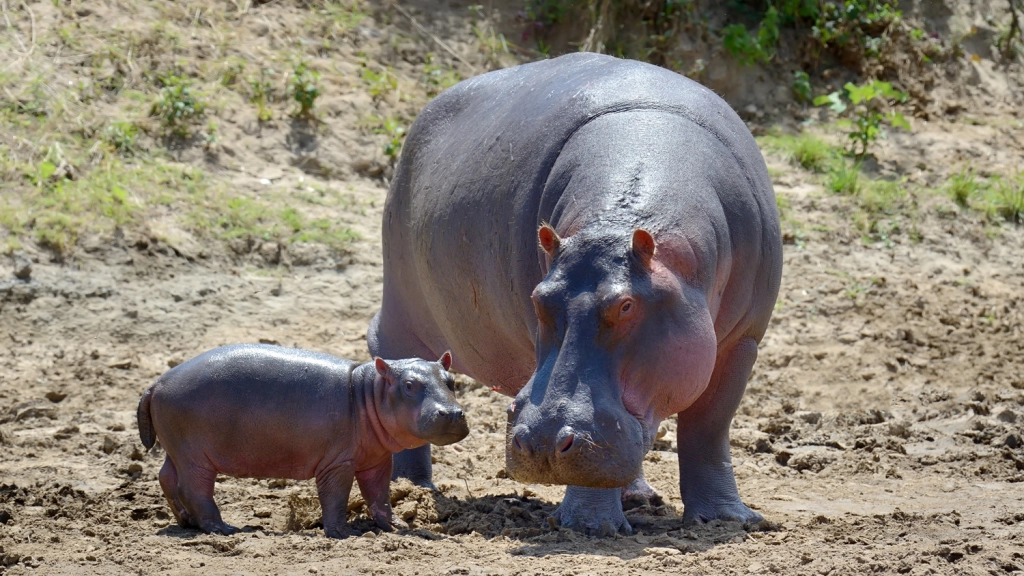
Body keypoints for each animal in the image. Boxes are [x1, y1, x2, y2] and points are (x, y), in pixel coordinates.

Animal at [136, 342, 468, 537]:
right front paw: (341, 533)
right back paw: (224, 529)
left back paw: (186, 523)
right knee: (194, 488)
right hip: (195, 456)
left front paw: (396, 526)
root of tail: (157, 383)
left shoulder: (377, 460)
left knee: (166, 477)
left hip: (177, 449)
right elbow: (335, 496)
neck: (368, 392)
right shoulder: (338, 463)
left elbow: (379, 495)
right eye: (409, 385)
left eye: (452, 381)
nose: (452, 413)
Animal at [368, 51, 782, 532]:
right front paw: (590, 526)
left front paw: (729, 520)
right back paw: (411, 489)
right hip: (401, 307)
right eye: (539, 298)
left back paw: (639, 497)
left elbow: (709, 428)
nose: (543, 443)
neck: (615, 225)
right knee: (397, 359)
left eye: (626, 305)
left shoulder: (742, 342)